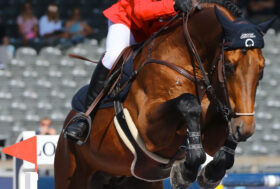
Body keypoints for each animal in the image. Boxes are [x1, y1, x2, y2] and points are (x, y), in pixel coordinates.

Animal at [54, 0, 274, 188]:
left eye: (261, 70)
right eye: (228, 66)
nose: (245, 129)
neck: (188, 60)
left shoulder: (217, 126)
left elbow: (224, 135)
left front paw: (210, 173)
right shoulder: (149, 128)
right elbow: (188, 103)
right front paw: (185, 171)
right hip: (71, 173)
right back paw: (78, 127)